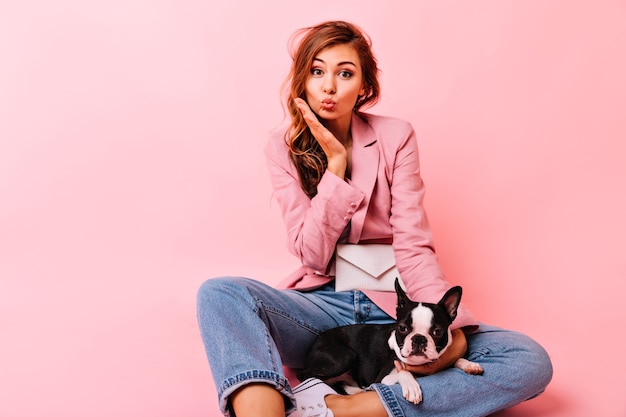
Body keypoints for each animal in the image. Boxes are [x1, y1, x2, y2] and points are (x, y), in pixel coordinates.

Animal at [298, 280, 482, 404]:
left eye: (437, 332)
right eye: (402, 328)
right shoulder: (383, 379)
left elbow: (454, 360)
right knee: (308, 376)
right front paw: (411, 386)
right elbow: (404, 373)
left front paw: (468, 364)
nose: (419, 338)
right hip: (345, 357)